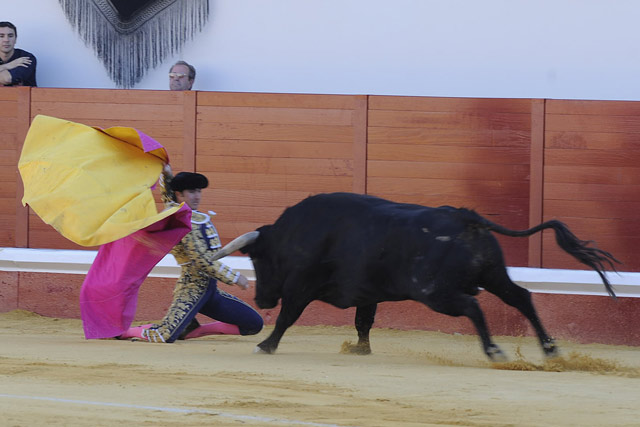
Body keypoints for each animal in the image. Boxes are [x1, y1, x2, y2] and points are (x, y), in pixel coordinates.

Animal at [212, 194, 616, 362]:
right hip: (493, 273)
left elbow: (287, 317)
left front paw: (266, 345)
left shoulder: (301, 287)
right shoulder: (367, 293)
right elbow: (363, 321)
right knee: (521, 297)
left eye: (259, 259)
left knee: (473, 307)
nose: (261, 300)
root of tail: (466, 217)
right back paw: (549, 349)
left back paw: (494, 351)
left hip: (436, 292)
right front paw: (360, 349)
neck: (296, 233)